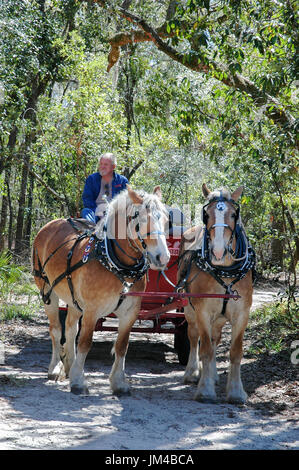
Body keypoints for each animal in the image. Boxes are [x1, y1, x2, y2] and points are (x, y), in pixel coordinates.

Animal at [32, 185, 171, 394]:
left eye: (166, 219)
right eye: (141, 219)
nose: (162, 257)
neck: (117, 265)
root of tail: (51, 224)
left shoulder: (130, 311)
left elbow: (122, 345)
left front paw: (118, 382)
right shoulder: (92, 310)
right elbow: (85, 342)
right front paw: (78, 381)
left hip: (73, 299)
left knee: (70, 328)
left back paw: (70, 364)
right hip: (48, 290)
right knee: (56, 329)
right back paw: (55, 367)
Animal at [179, 184, 256, 404]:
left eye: (233, 214)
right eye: (207, 214)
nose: (219, 252)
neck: (225, 270)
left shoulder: (242, 314)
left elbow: (235, 352)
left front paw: (236, 392)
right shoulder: (203, 311)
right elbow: (204, 349)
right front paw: (205, 390)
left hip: (220, 317)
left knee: (215, 339)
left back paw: (212, 375)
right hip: (189, 309)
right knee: (194, 337)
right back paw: (193, 373)